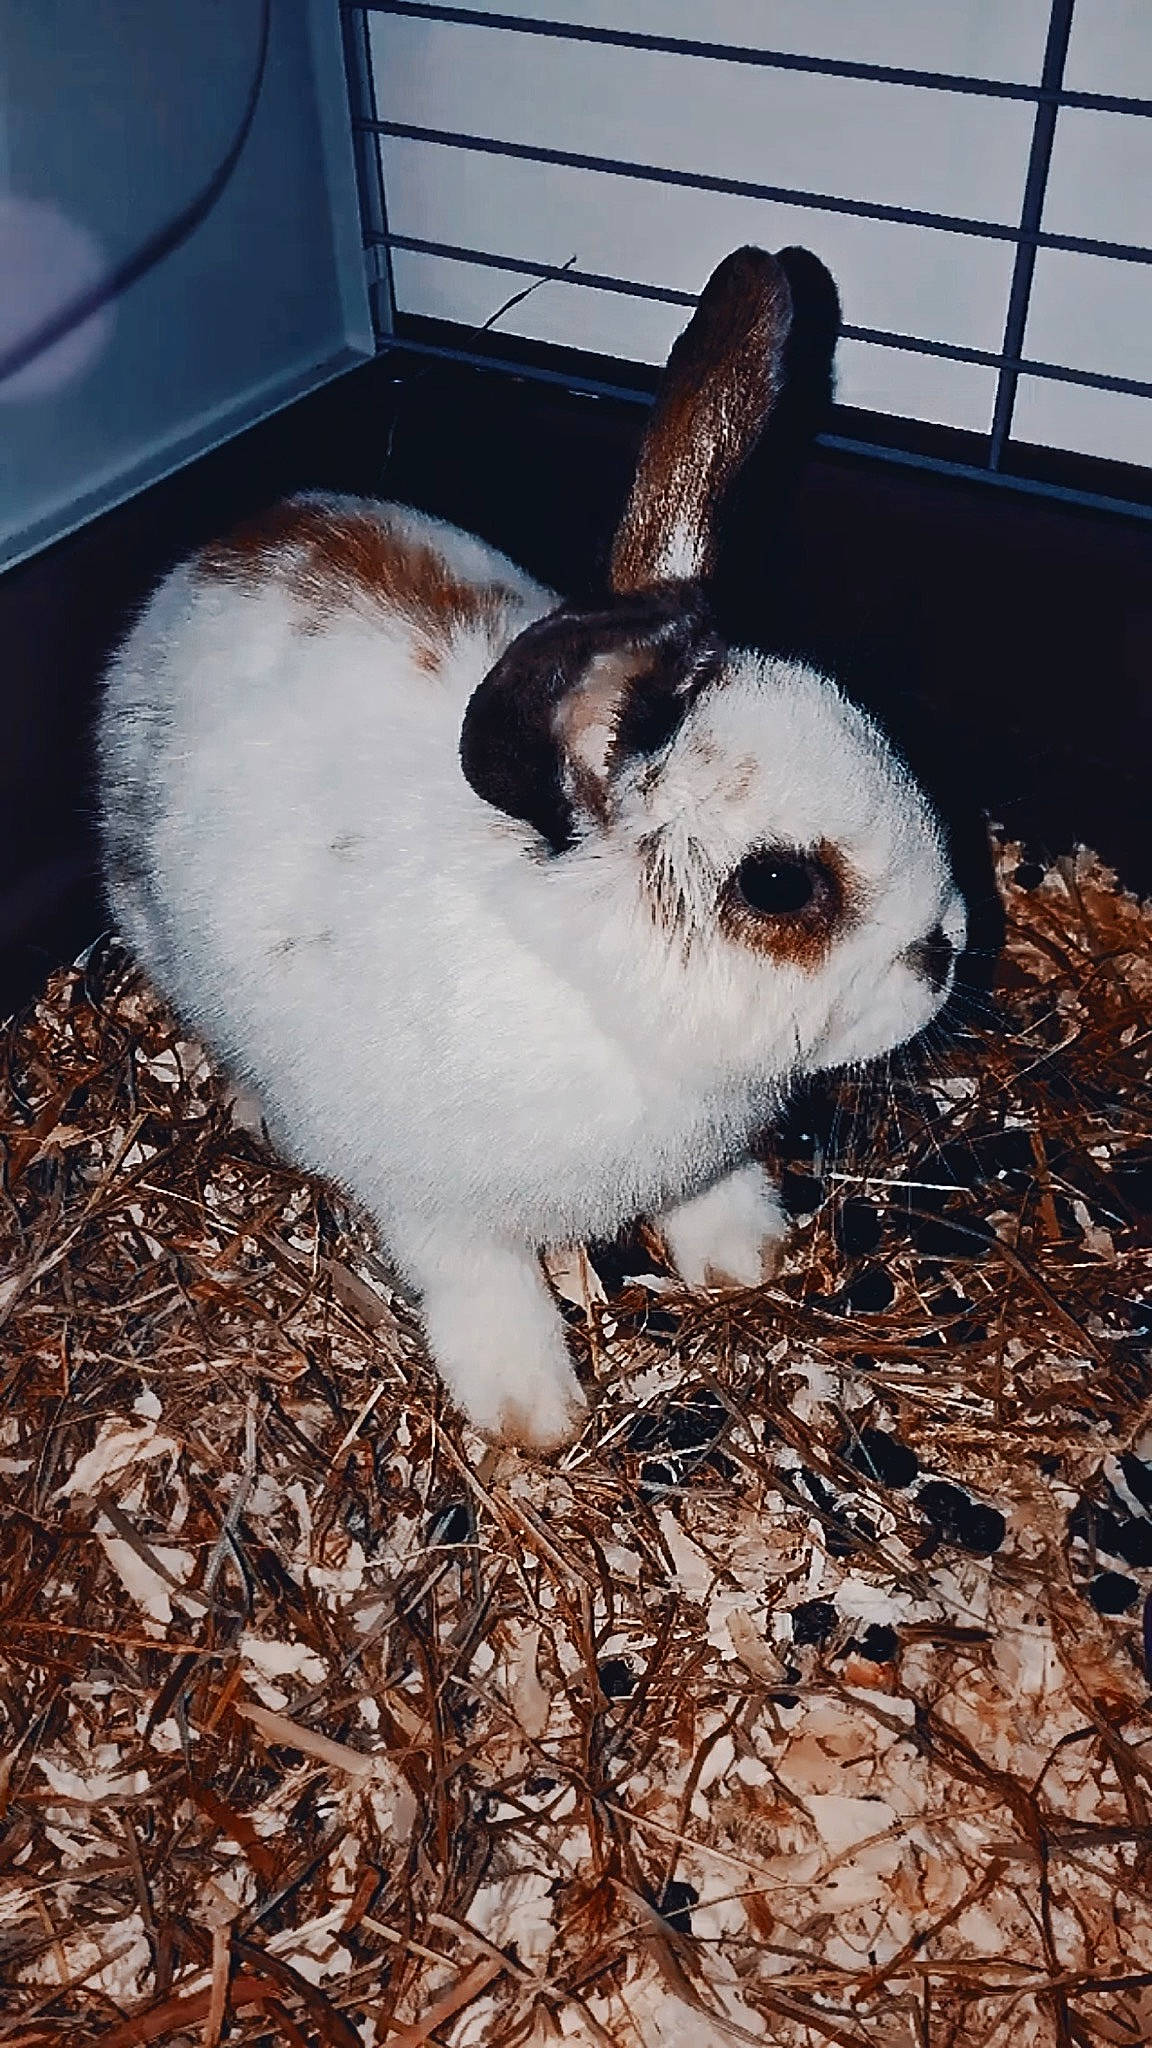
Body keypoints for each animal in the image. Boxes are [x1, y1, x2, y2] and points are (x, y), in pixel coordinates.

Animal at [97, 246, 966, 1451]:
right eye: (779, 882)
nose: (946, 951)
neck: (596, 993)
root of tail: (202, 560)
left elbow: (708, 1195)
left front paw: (749, 1259)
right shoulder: (438, 1206)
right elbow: (483, 1285)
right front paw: (532, 1414)